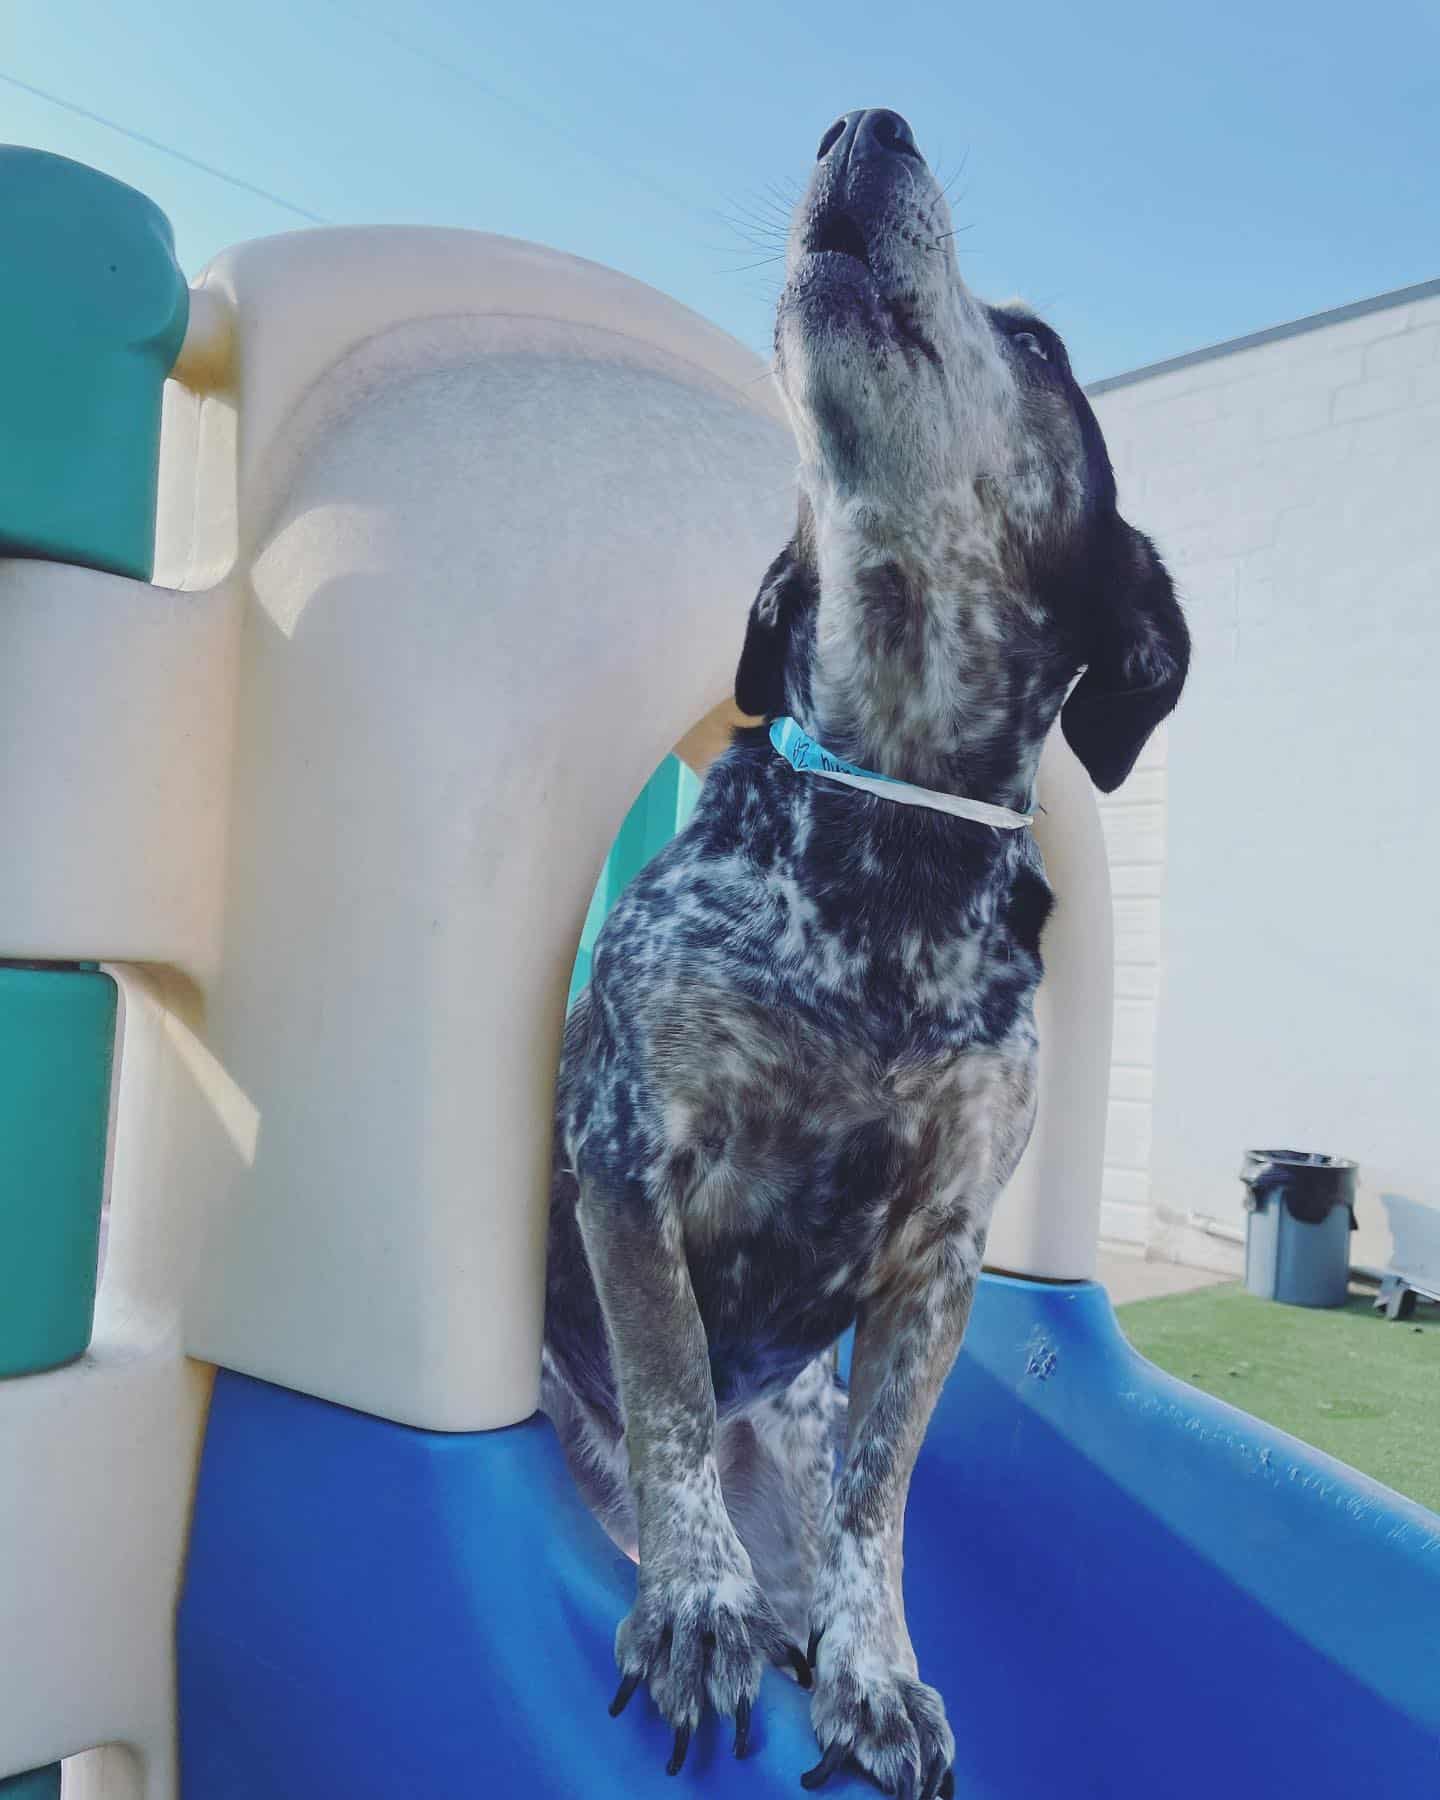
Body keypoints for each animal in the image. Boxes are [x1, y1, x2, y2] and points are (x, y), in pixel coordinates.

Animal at [542, 107, 1188, 1796]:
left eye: (1040, 344)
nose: (865, 123)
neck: (888, 827)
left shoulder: (939, 1257)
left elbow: (880, 1501)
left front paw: (878, 1673)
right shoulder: (630, 1154)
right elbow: (673, 1389)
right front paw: (694, 1601)